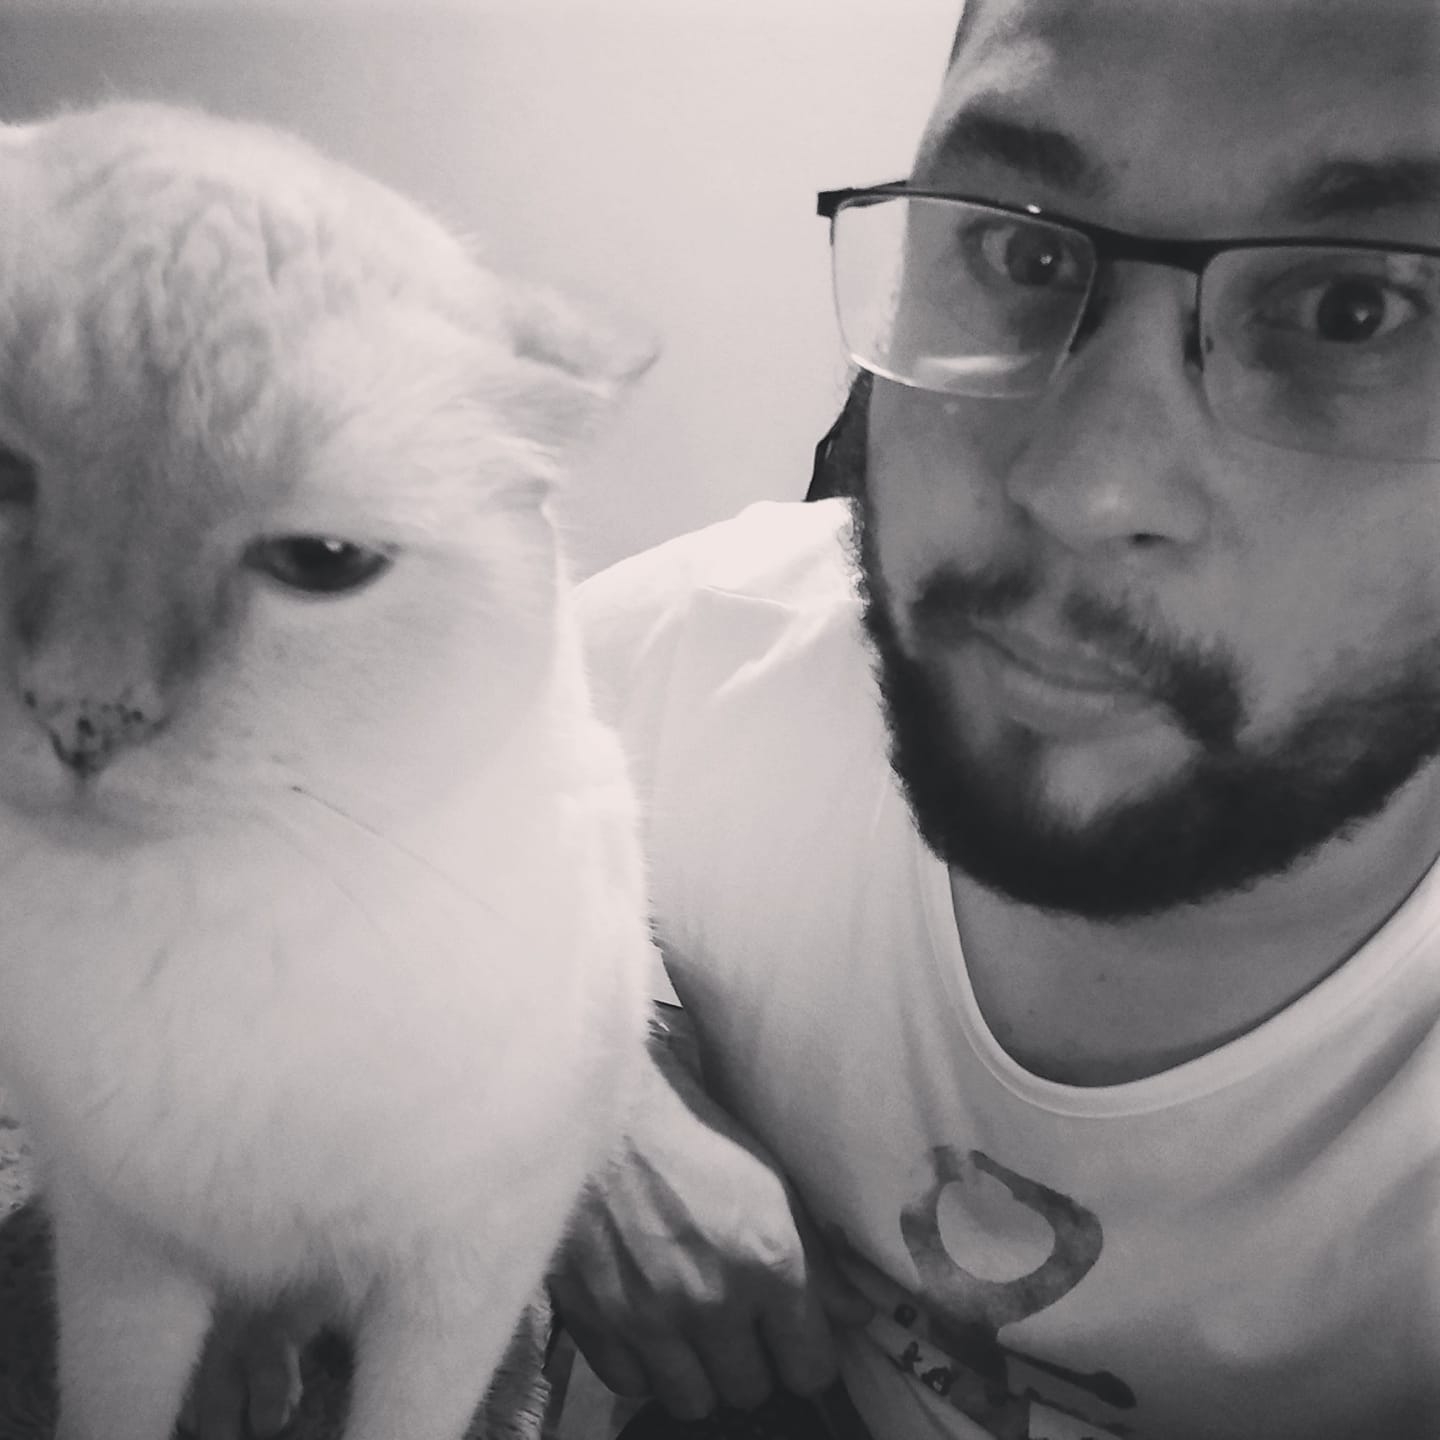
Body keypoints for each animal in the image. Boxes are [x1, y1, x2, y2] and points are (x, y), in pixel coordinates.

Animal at [0, 101, 658, 1440]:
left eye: (321, 564)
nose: (80, 713)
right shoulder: (122, 1255)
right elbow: (114, 1405)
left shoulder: (457, 1282)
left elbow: (406, 1414)